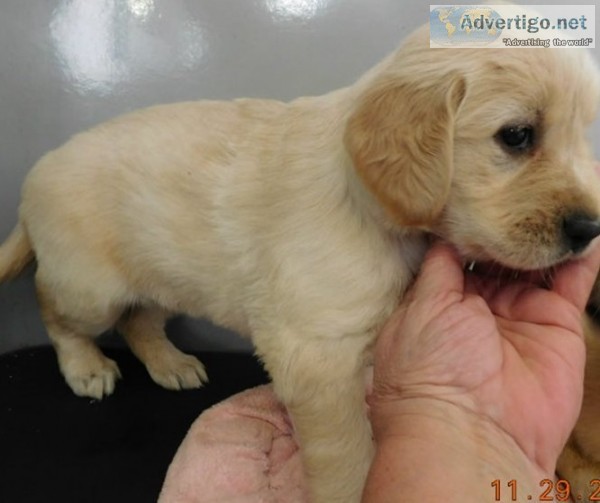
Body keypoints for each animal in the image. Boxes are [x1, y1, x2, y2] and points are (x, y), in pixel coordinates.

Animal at [1, 25, 600, 502]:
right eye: (517, 135)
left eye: (581, 138)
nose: (590, 230)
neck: (372, 207)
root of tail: (36, 177)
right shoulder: (317, 356)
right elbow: (348, 452)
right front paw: (351, 491)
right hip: (90, 287)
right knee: (55, 306)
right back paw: (87, 367)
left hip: (163, 279)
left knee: (139, 319)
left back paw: (170, 362)